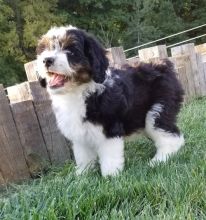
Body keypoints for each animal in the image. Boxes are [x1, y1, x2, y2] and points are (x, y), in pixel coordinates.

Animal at [36, 26, 184, 177]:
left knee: (171, 136)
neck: (78, 92)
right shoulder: (80, 135)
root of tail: (164, 65)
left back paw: (158, 160)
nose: (47, 60)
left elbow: (109, 156)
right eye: (45, 50)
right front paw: (83, 174)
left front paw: (110, 177)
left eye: (71, 51)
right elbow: (83, 156)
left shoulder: (110, 129)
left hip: (159, 109)